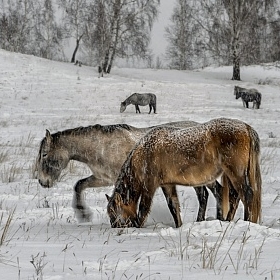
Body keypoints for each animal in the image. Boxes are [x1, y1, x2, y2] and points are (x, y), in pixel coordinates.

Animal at [35, 121, 223, 226]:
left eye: (44, 154)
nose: (43, 182)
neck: (101, 147)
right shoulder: (102, 178)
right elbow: (79, 185)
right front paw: (83, 214)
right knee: (205, 195)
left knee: (214, 192)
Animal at [107, 117, 262, 229]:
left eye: (114, 211)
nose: (115, 227)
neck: (145, 152)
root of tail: (246, 127)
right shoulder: (167, 185)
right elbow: (173, 206)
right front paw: (179, 226)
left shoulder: (149, 186)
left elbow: (143, 208)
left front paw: (138, 227)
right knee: (232, 196)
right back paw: (227, 221)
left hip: (236, 173)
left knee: (246, 195)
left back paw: (248, 222)